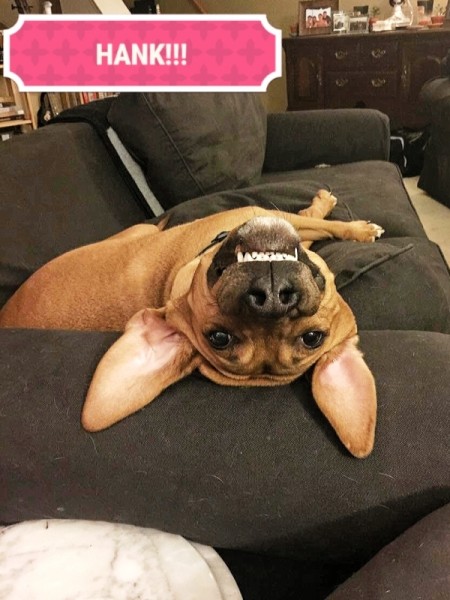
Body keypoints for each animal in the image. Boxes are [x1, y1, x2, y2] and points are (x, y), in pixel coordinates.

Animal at [0, 190, 386, 458]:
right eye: (219, 338)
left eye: (312, 337)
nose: (272, 297)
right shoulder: (269, 215)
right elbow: (321, 223)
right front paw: (351, 224)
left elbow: (315, 227)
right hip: (137, 229)